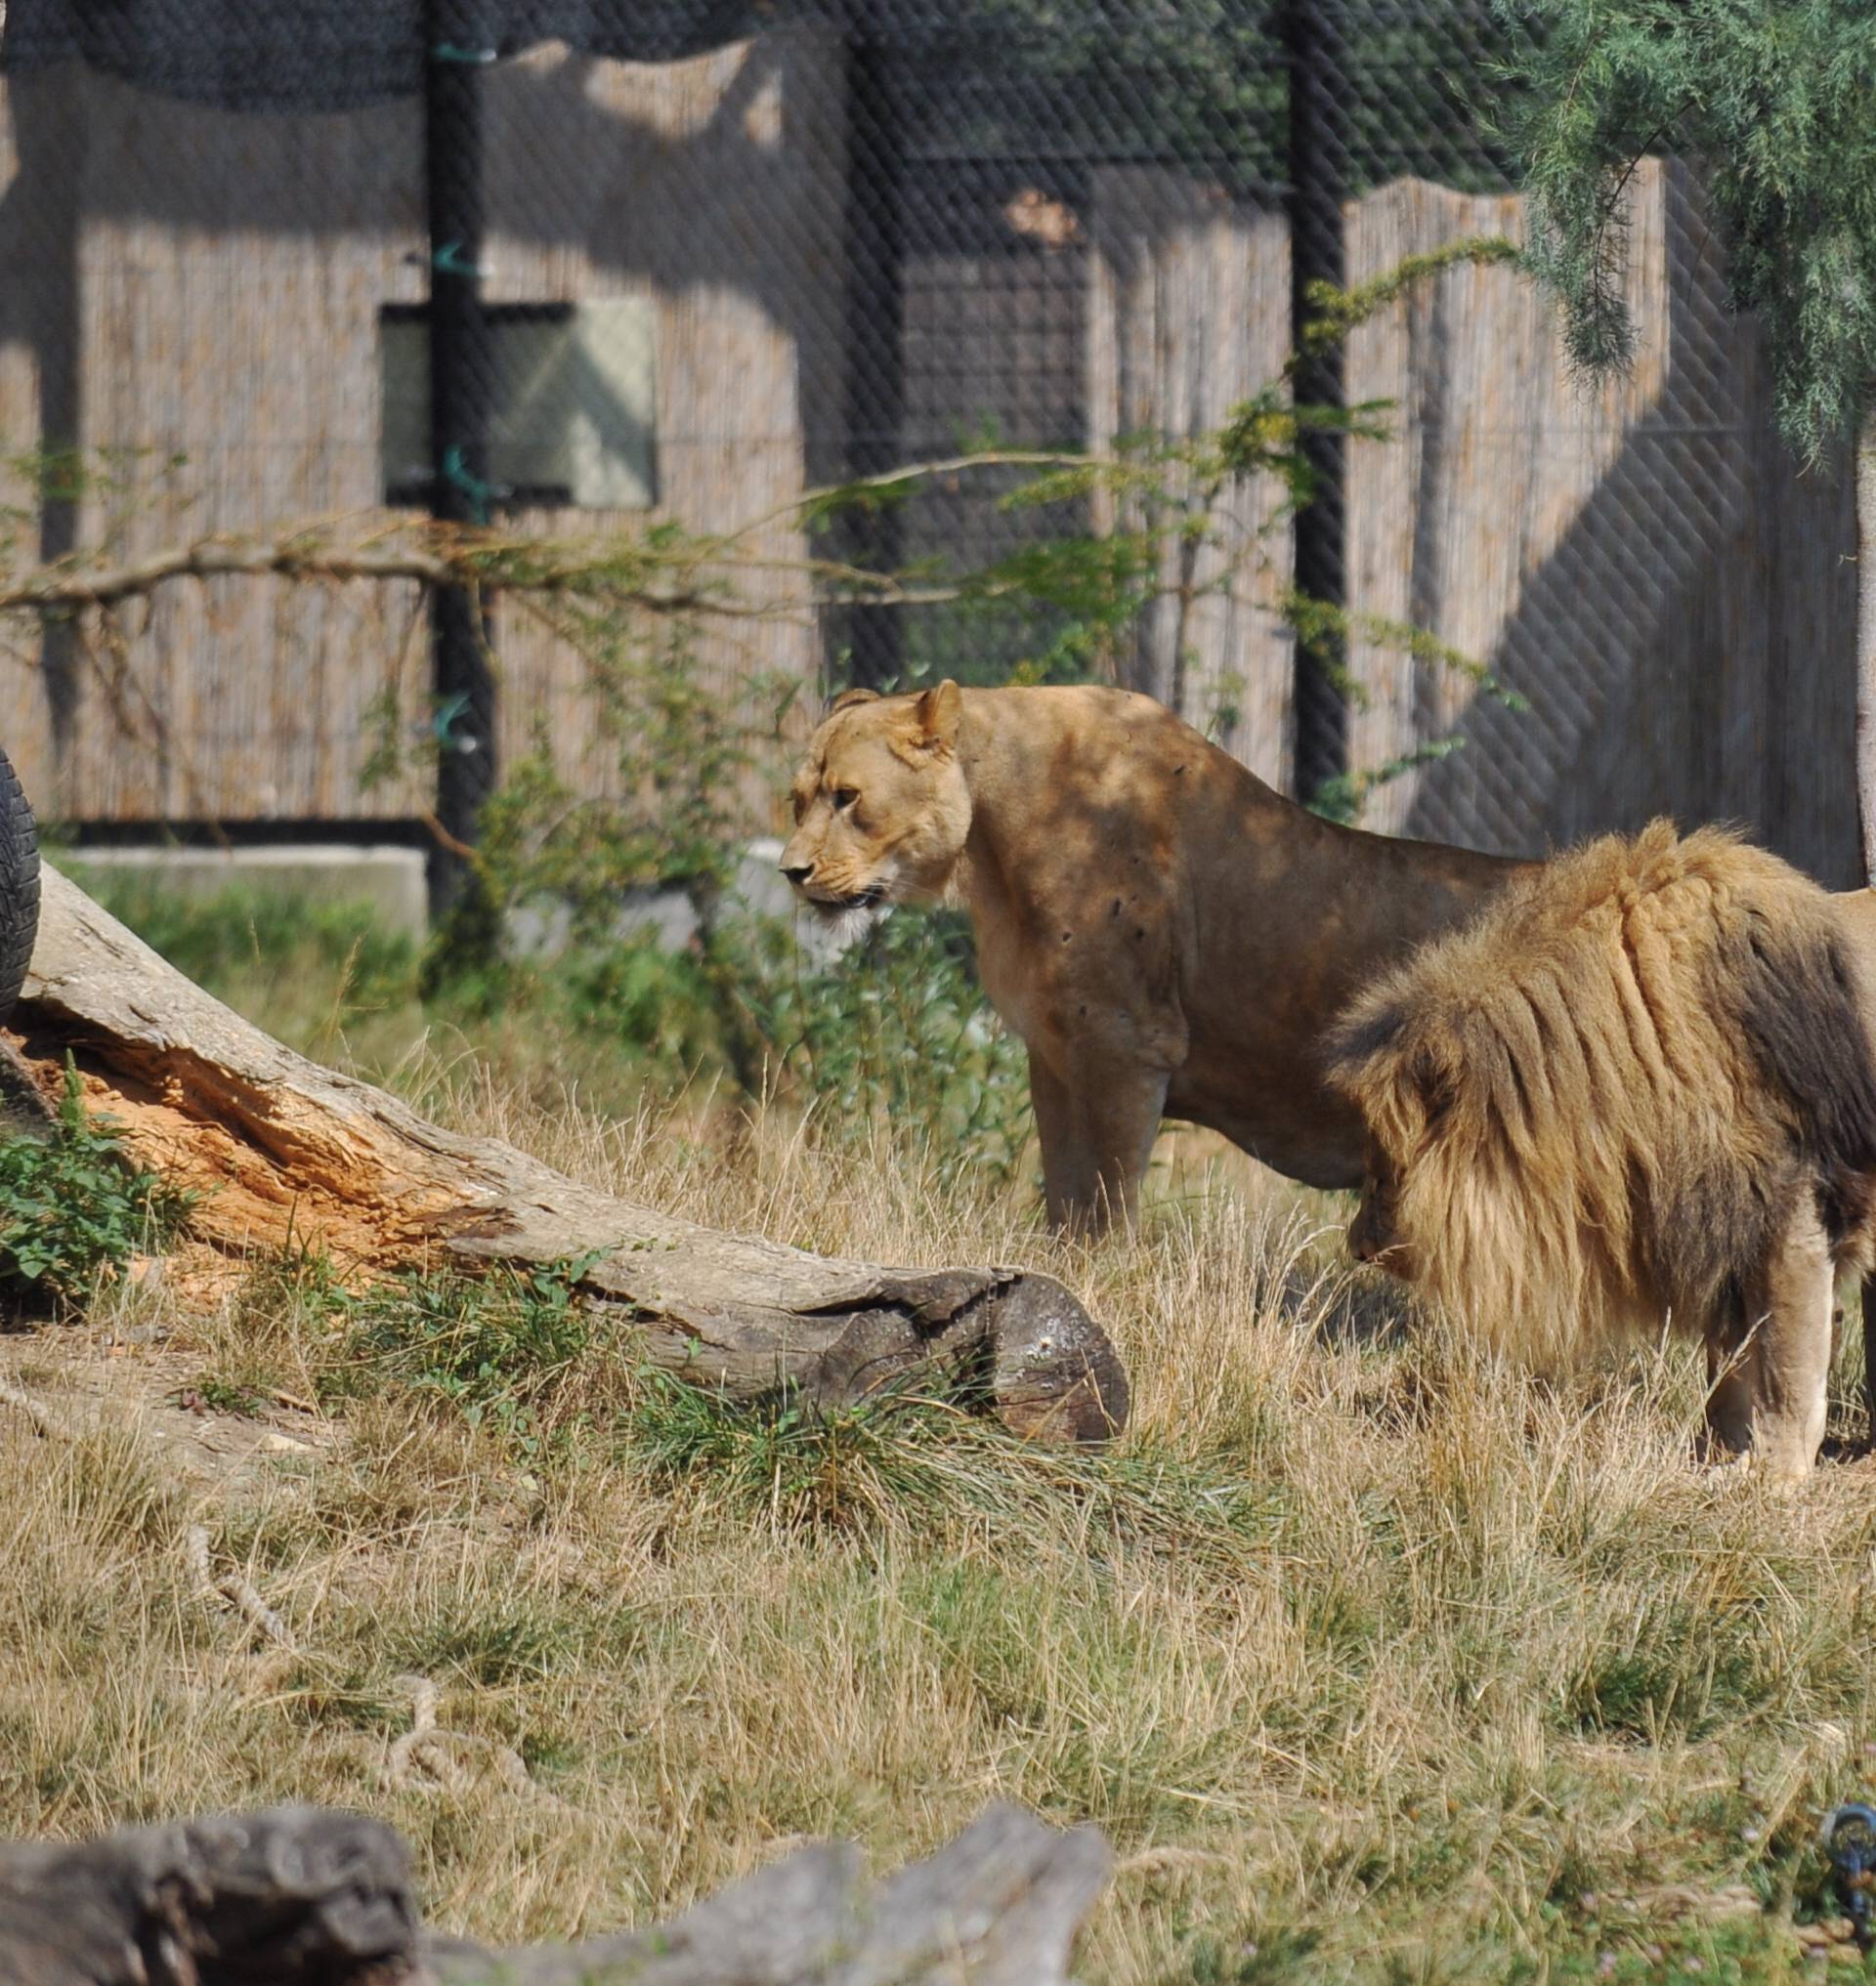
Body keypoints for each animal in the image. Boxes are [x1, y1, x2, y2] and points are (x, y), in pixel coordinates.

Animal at [775, 691, 1526, 1231]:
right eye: (797, 799)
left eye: (847, 796)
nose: (790, 872)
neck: (986, 849)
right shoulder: (1054, 1054)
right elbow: (1064, 1190)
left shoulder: (1125, 1047)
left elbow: (1106, 1199)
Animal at [1319, 818, 1876, 1477]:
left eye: (1383, 1170)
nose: (1356, 1247)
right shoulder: (1722, 1235)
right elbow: (1730, 1370)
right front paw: (1713, 1461)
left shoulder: (1793, 1219)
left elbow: (1787, 1369)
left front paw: (1775, 1481)